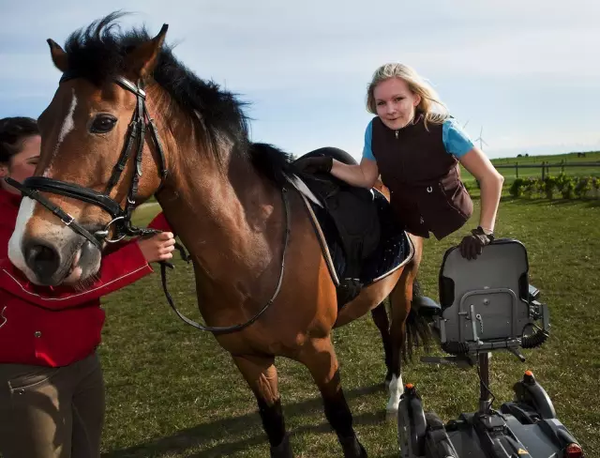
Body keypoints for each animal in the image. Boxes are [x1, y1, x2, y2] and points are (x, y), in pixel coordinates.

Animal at [7, 14, 424, 458]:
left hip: (404, 285)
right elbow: (275, 430)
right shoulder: (250, 360)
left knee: (396, 332)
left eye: (103, 122)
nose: (34, 251)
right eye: (43, 124)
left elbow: (343, 424)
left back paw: (394, 395)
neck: (255, 250)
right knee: (381, 324)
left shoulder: (320, 352)